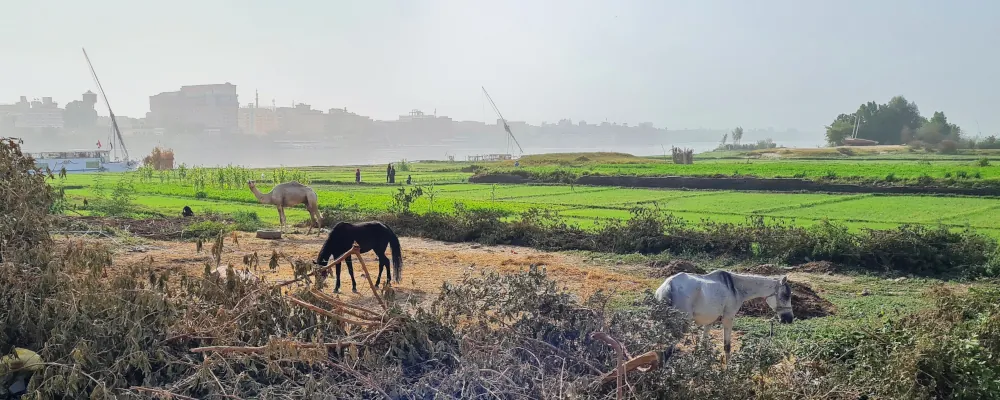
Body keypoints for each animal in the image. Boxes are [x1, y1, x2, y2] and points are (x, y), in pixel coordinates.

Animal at [655, 270, 794, 364]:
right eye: (786, 295)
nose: (789, 319)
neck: (735, 288)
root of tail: (668, 285)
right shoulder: (728, 317)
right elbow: (727, 346)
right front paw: (728, 368)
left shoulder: (709, 320)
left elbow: (703, 344)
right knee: (667, 351)